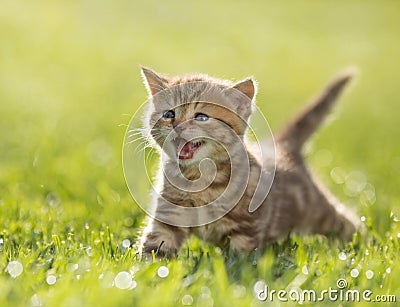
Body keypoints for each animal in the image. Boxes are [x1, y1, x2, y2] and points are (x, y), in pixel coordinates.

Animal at [136, 68, 358, 260]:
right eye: (169, 114)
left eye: (201, 117)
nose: (177, 126)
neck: (200, 179)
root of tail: (280, 146)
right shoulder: (169, 215)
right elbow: (156, 246)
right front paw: (146, 272)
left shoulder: (246, 227)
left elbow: (240, 258)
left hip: (317, 210)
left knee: (347, 222)